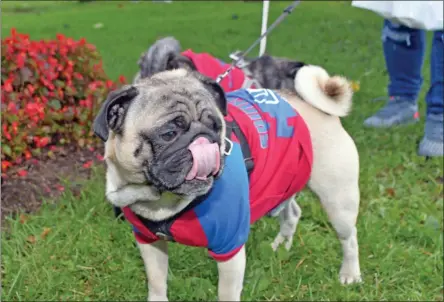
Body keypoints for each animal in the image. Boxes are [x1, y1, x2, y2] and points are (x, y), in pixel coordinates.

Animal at [93, 65, 360, 300]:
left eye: (215, 126)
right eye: (168, 134)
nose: (203, 137)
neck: (162, 200)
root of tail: (319, 107)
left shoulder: (230, 249)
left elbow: (226, 293)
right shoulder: (149, 242)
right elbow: (157, 283)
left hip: (338, 199)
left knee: (349, 238)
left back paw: (350, 275)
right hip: (285, 184)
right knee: (292, 213)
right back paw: (280, 247)